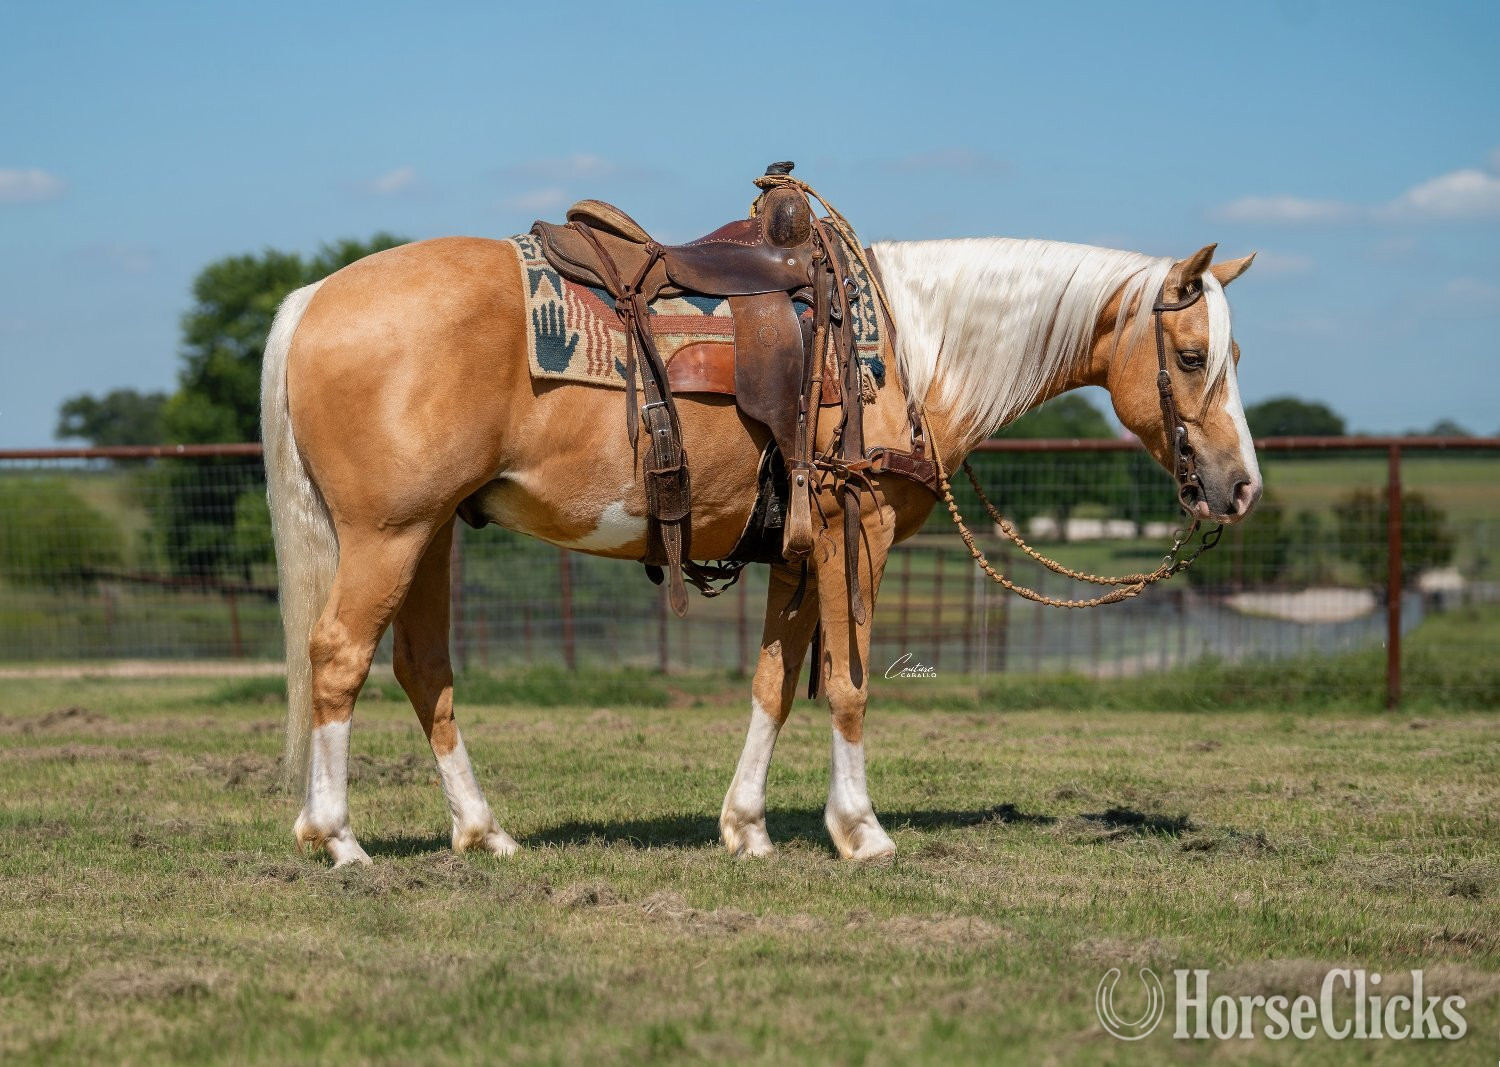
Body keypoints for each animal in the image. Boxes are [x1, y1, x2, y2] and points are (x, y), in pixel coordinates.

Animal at [261, 228, 1260, 866]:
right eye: (1193, 355)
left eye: (1234, 352)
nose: (1241, 486)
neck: (908, 346)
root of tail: (315, 297)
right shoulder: (861, 533)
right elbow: (849, 684)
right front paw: (860, 830)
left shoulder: (795, 553)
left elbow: (775, 682)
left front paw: (746, 826)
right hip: (390, 535)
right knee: (338, 657)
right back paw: (338, 837)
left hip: (428, 535)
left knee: (422, 667)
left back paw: (480, 831)